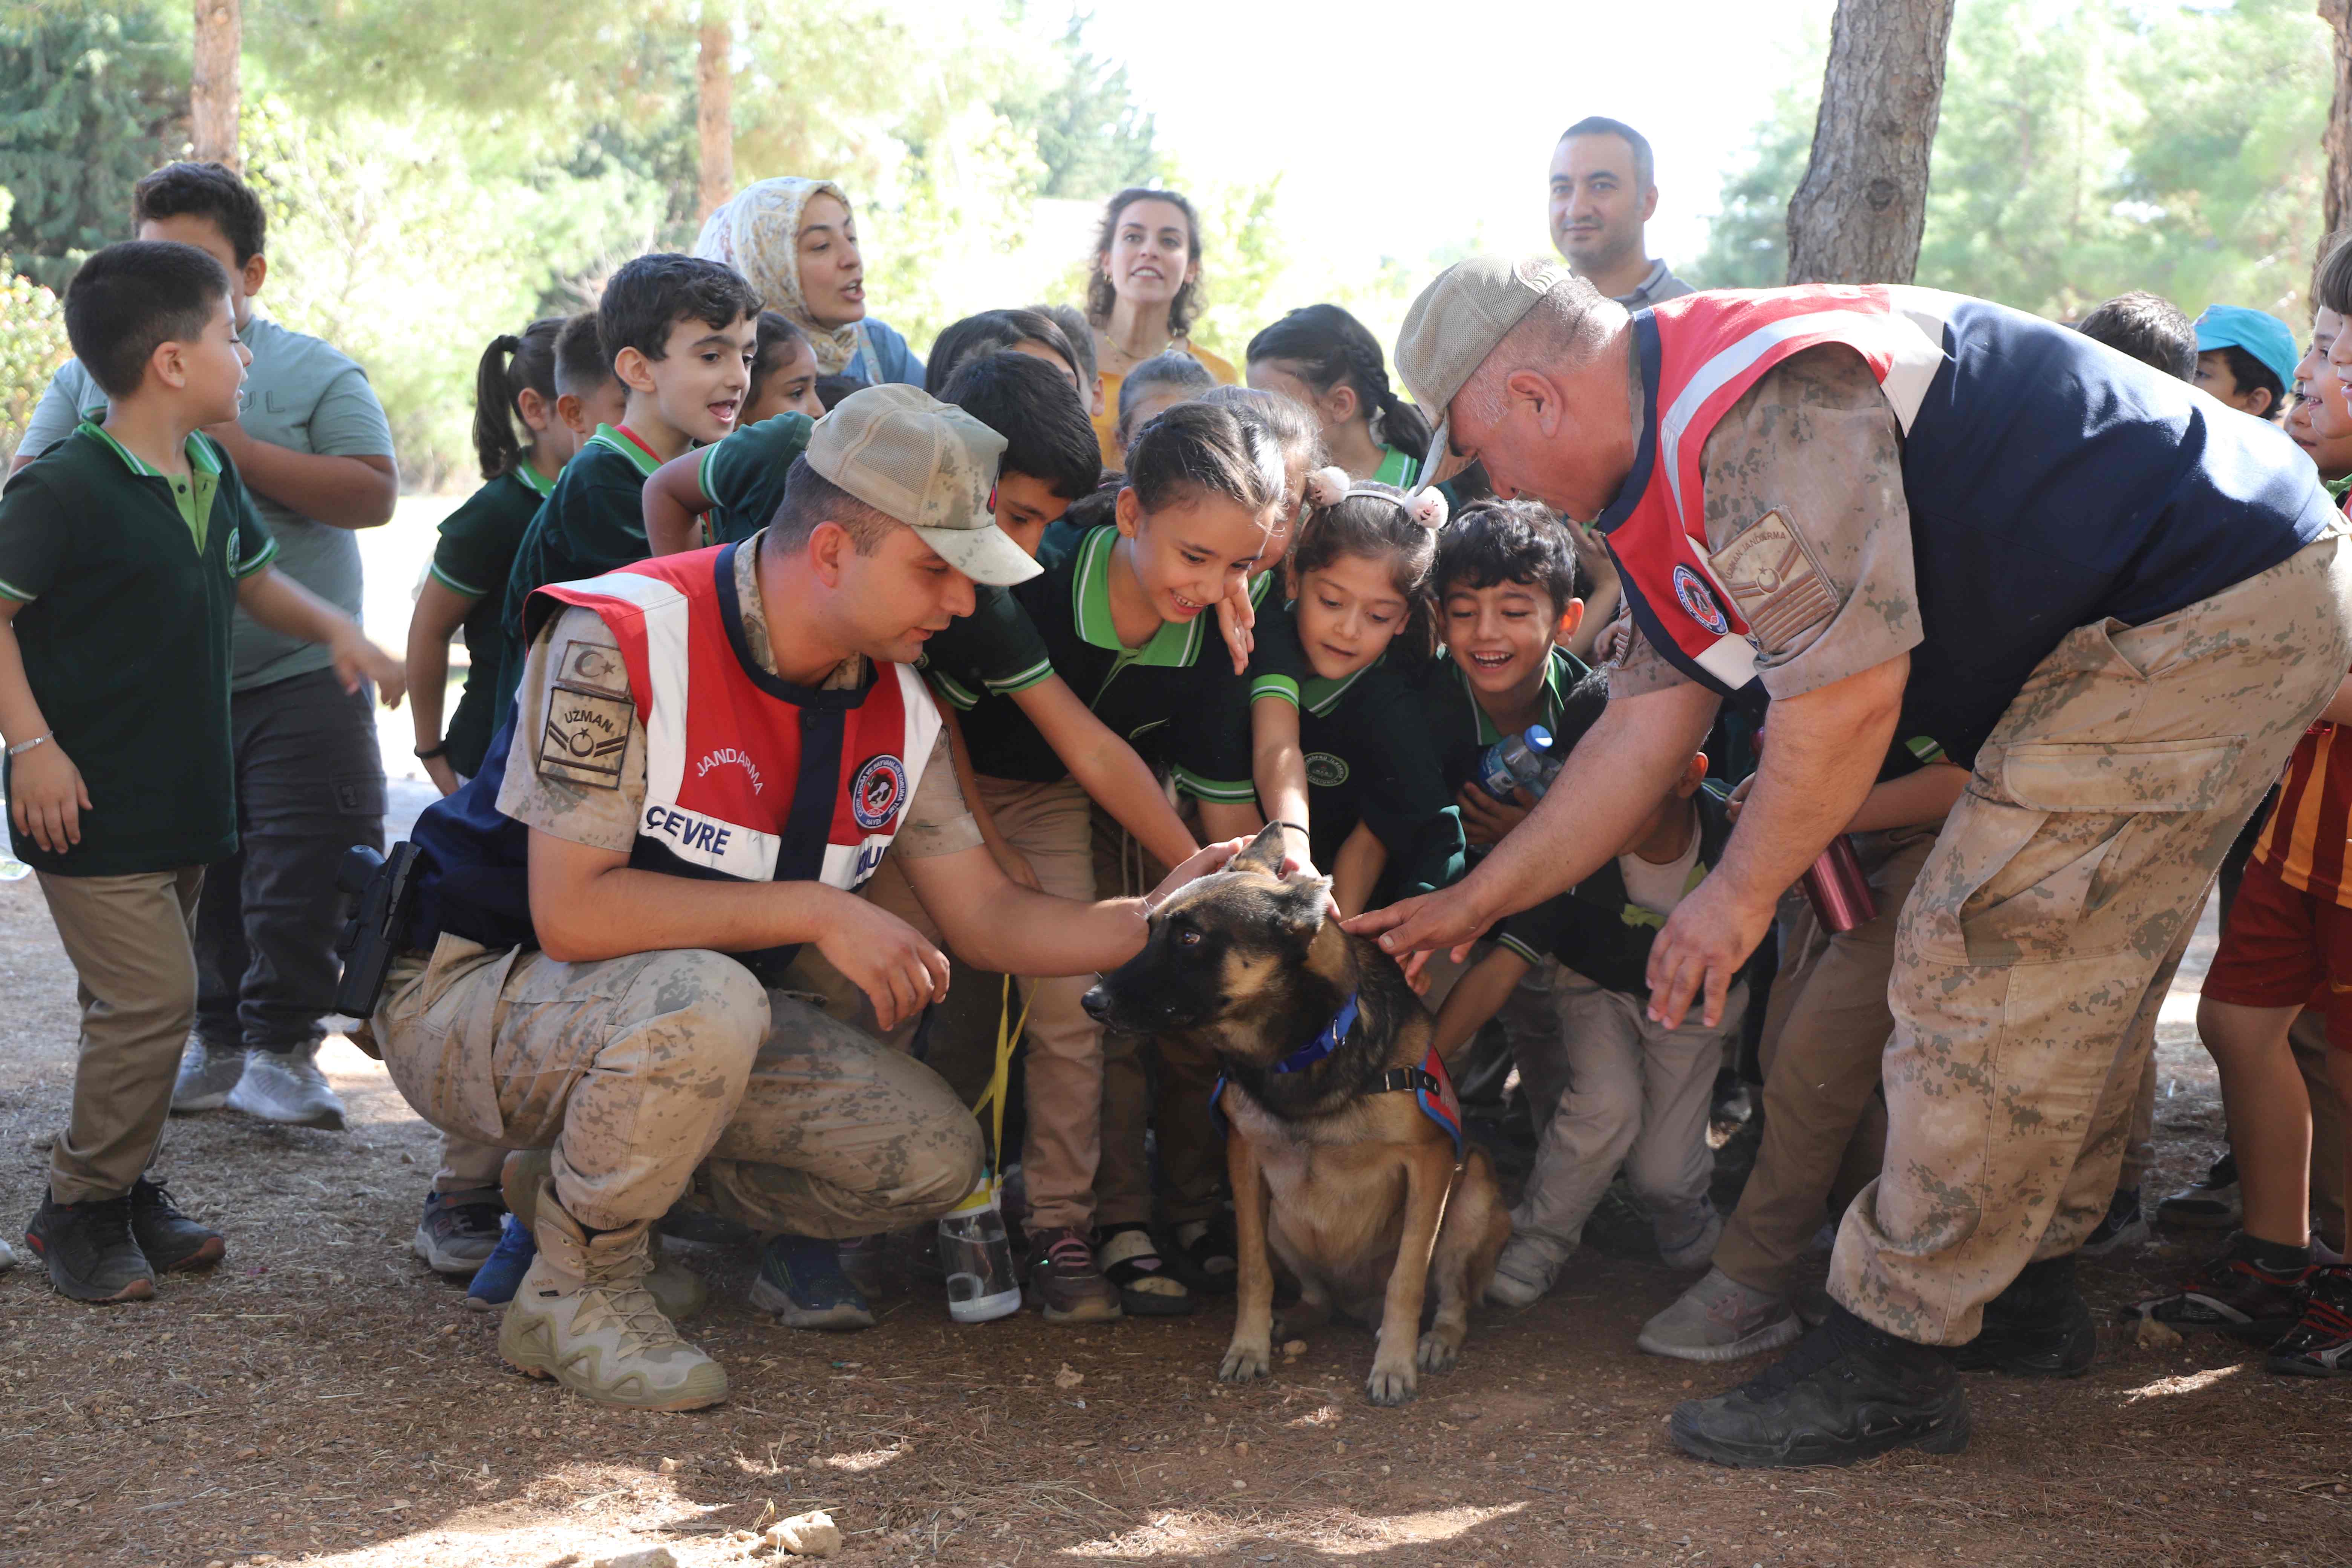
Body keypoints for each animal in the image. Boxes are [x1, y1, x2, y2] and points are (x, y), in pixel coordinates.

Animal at [1077, 827, 1505, 1401]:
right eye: (1148, 931)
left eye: (1189, 938)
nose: (1091, 1000)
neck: (1306, 1049)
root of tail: (1355, 1305)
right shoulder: (1245, 1161)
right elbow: (1252, 1271)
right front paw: (1249, 1346)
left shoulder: (1431, 1163)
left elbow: (1408, 1277)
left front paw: (1395, 1364)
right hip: (1285, 1220)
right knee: (1318, 1299)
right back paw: (1293, 1319)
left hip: (1472, 1191)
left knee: (1452, 1300)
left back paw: (1434, 1339)